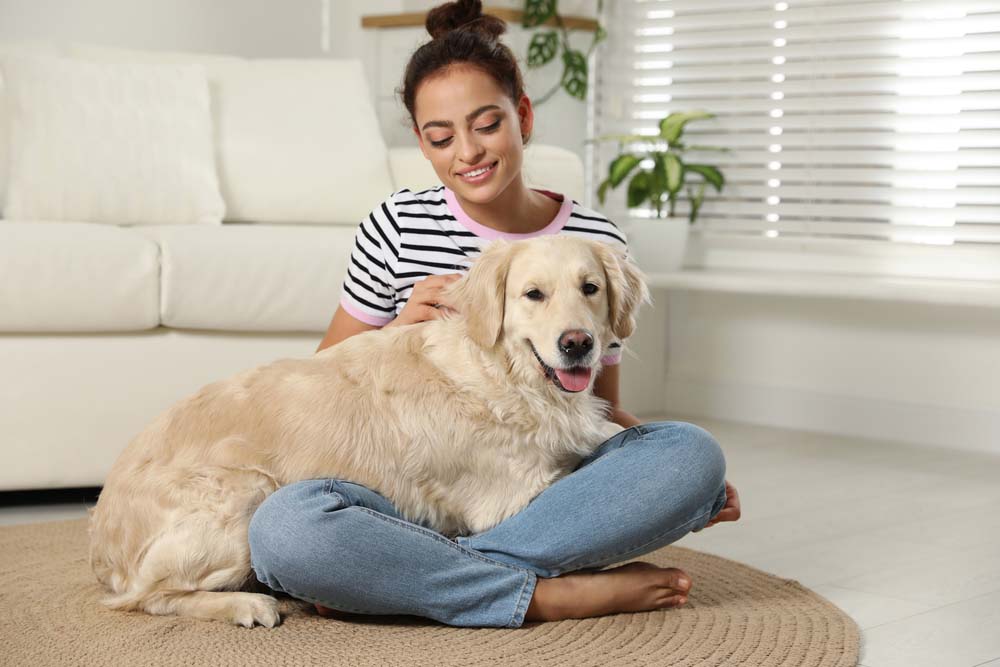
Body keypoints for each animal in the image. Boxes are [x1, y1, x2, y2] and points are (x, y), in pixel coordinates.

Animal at [90, 235, 652, 628]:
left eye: (591, 288)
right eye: (533, 294)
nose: (577, 344)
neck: (507, 375)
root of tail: (102, 537)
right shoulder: (508, 498)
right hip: (246, 492)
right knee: (149, 596)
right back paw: (247, 604)